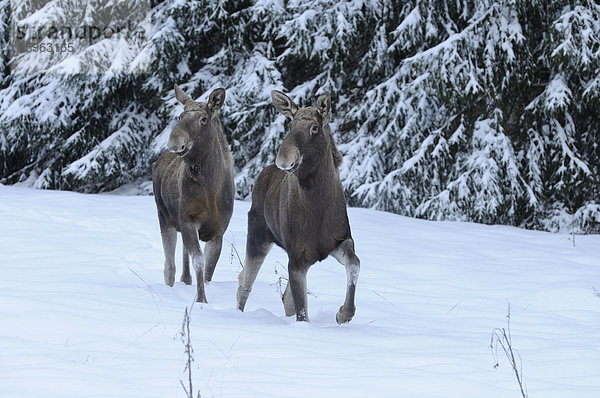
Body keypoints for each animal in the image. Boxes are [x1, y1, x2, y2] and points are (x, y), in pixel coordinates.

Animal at [152, 84, 234, 302]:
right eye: (180, 116)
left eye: (204, 118)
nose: (174, 142)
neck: (210, 188)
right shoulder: (188, 219)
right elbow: (199, 261)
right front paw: (201, 300)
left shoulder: (218, 230)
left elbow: (208, 271)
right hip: (165, 217)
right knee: (169, 266)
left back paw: (186, 280)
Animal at [238, 89, 360, 324]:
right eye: (289, 124)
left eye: (315, 128)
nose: (284, 158)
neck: (318, 207)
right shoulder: (296, 258)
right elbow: (302, 312)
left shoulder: (340, 240)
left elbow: (355, 264)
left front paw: (344, 313)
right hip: (257, 237)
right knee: (245, 284)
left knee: (282, 296)